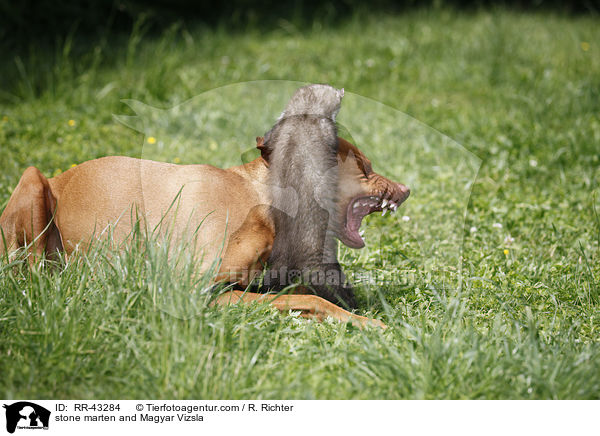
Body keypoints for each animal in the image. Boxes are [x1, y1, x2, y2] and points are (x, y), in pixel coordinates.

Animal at [0, 136, 408, 328]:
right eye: (365, 167)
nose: (405, 189)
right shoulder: (198, 291)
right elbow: (309, 298)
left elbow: (303, 297)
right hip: (33, 182)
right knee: (32, 274)